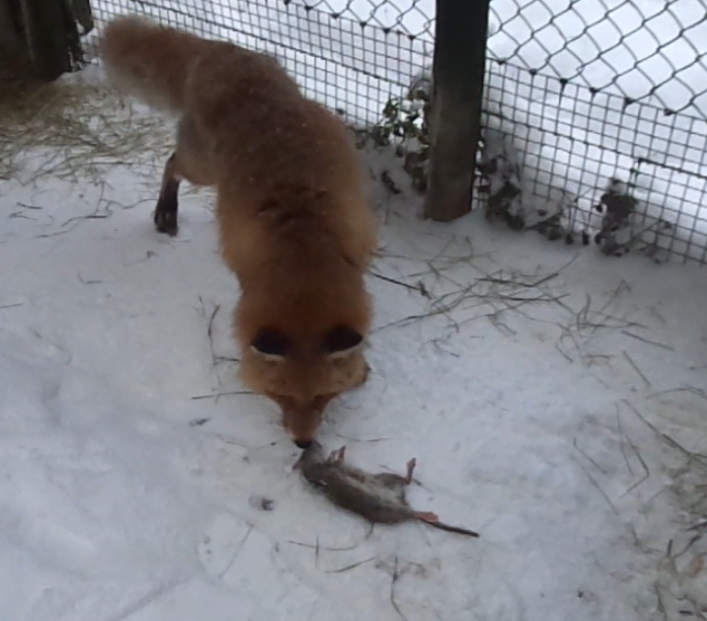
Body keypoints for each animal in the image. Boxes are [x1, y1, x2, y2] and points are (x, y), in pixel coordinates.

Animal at [100, 15, 378, 446]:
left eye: (322, 396)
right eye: (280, 395)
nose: (303, 442)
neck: (304, 244)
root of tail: (220, 49)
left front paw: (361, 369)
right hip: (202, 167)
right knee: (171, 162)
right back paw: (166, 213)